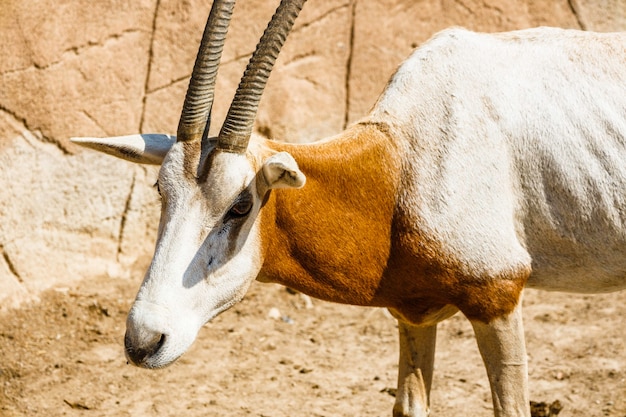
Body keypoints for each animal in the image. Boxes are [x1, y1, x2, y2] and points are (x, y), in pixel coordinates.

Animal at [70, 0, 624, 414]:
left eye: (240, 205)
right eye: (161, 193)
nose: (144, 340)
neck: (400, 164)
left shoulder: (499, 298)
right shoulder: (414, 314)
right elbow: (408, 406)